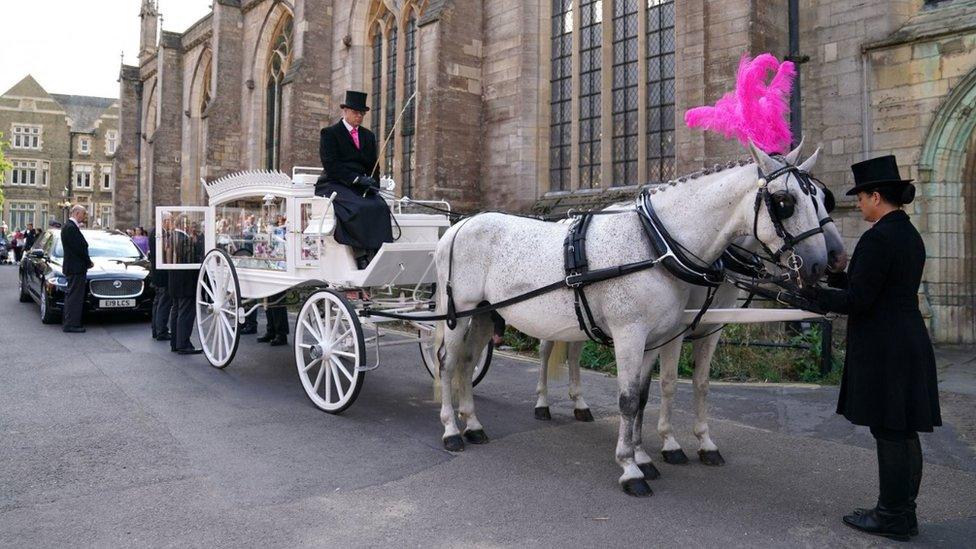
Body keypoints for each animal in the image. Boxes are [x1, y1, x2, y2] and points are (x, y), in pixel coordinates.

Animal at [434, 142, 832, 496]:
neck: (657, 244)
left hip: (485, 313)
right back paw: (452, 430)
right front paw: (629, 468)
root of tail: (459, 226)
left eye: (821, 198)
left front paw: (643, 456)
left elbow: (642, 396)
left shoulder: (656, 337)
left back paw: (473, 424)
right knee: (448, 362)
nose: (821, 265)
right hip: (459, 312)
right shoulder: (630, 334)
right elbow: (627, 399)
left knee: (467, 363)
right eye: (785, 202)